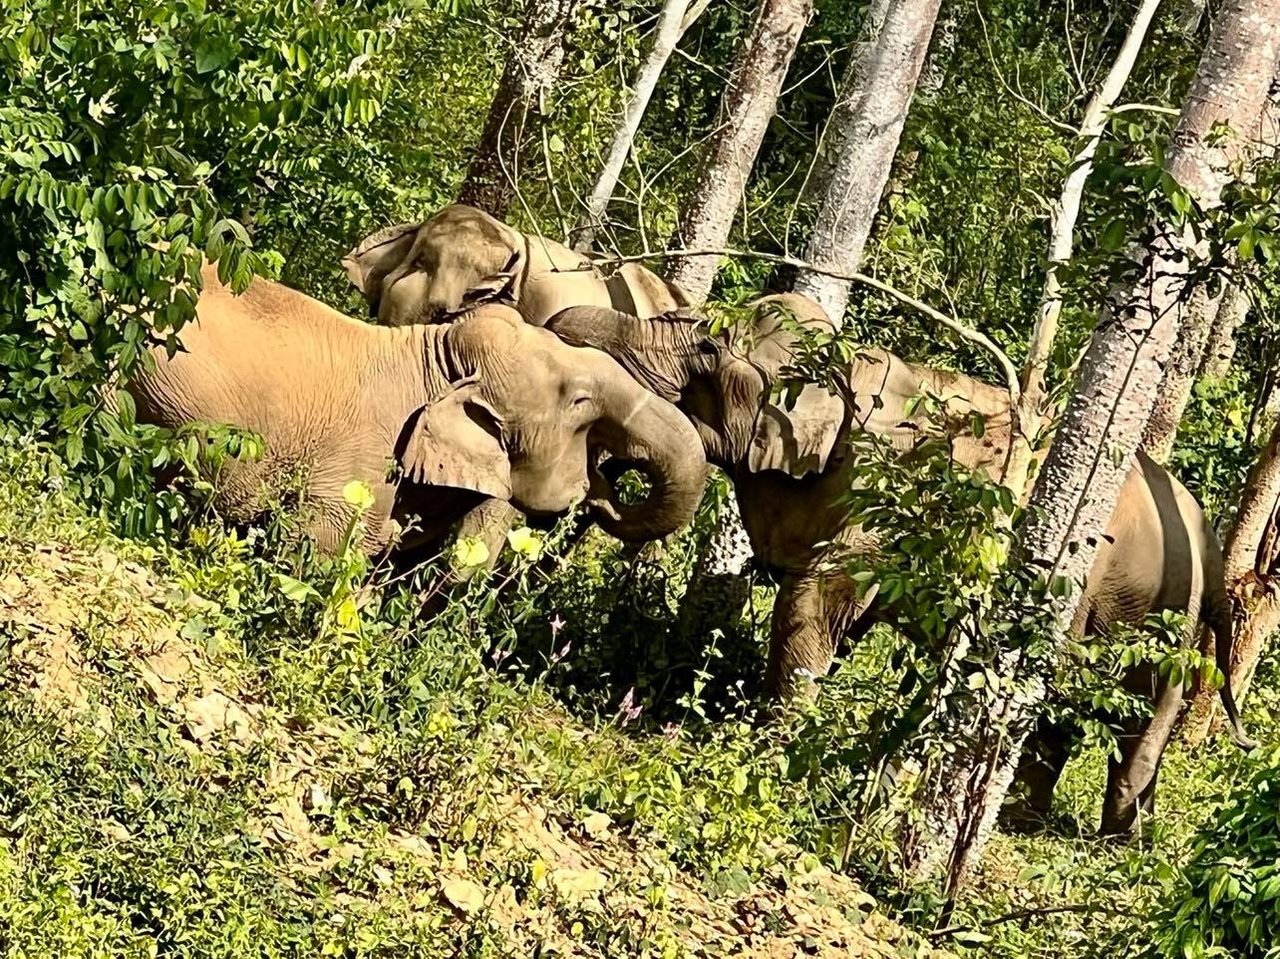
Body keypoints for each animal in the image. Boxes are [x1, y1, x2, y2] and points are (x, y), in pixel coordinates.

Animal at [547, 295, 1249, 834]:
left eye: (710, 348)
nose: (598, 486)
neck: (849, 360)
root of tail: (1213, 548)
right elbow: (838, 624)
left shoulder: (884, 499)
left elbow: (814, 602)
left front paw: (764, 751)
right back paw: (1027, 821)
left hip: (1159, 615)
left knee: (1131, 722)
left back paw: (1110, 839)